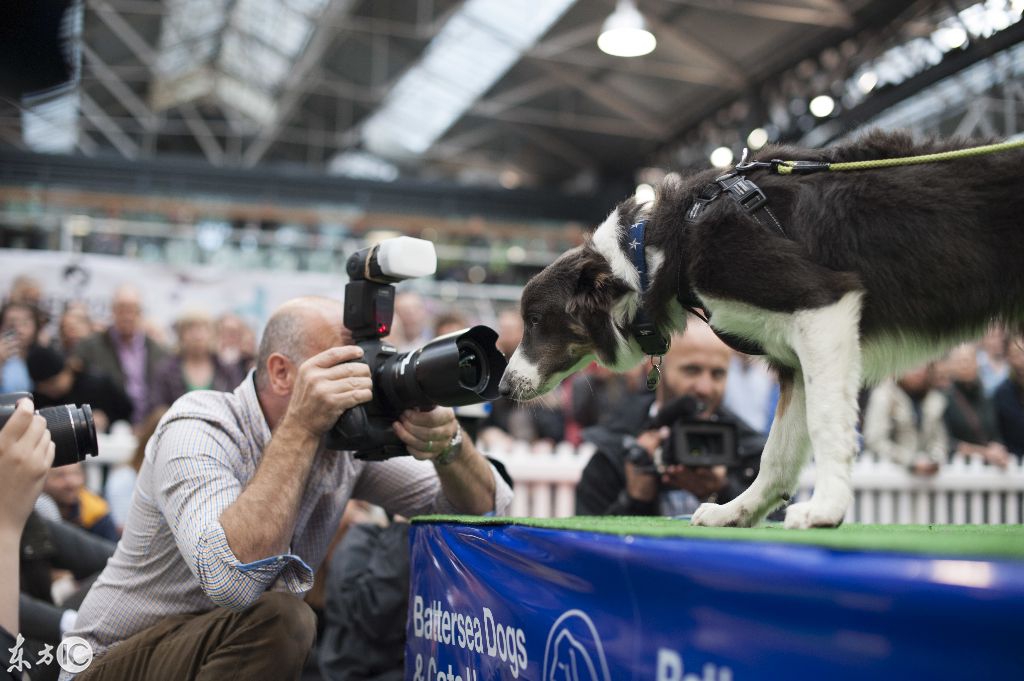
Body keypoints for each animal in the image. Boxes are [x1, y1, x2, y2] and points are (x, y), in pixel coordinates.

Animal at [497, 130, 1024, 528]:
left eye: (536, 321)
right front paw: (737, 512)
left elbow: (827, 424)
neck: (658, 252)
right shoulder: (794, 358)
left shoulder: (822, 307)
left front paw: (827, 509)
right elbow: (777, 453)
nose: (501, 387)